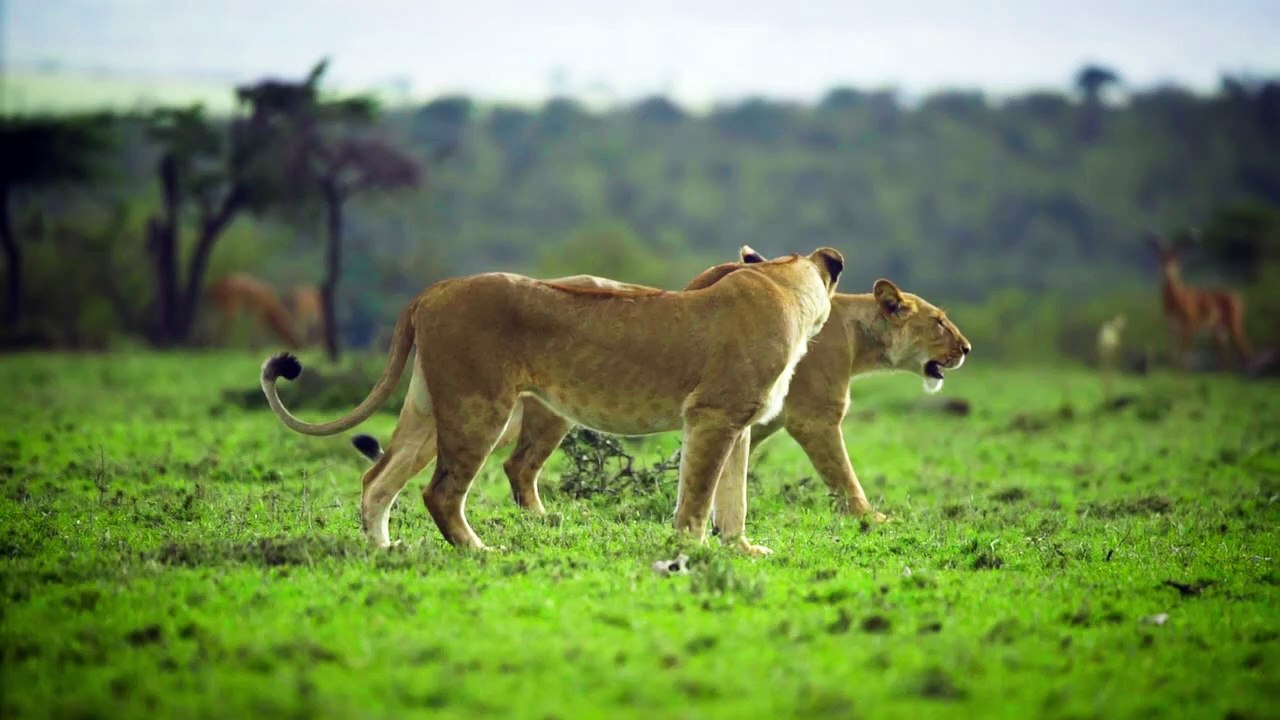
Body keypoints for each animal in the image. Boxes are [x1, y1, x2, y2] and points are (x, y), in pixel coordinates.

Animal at [260, 248, 844, 551]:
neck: (784, 284)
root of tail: (433, 290)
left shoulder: (737, 423)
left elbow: (734, 498)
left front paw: (741, 550)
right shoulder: (712, 416)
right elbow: (700, 496)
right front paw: (690, 552)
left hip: (429, 409)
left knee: (378, 478)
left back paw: (384, 552)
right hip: (480, 408)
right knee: (440, 492)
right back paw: (479, 552)